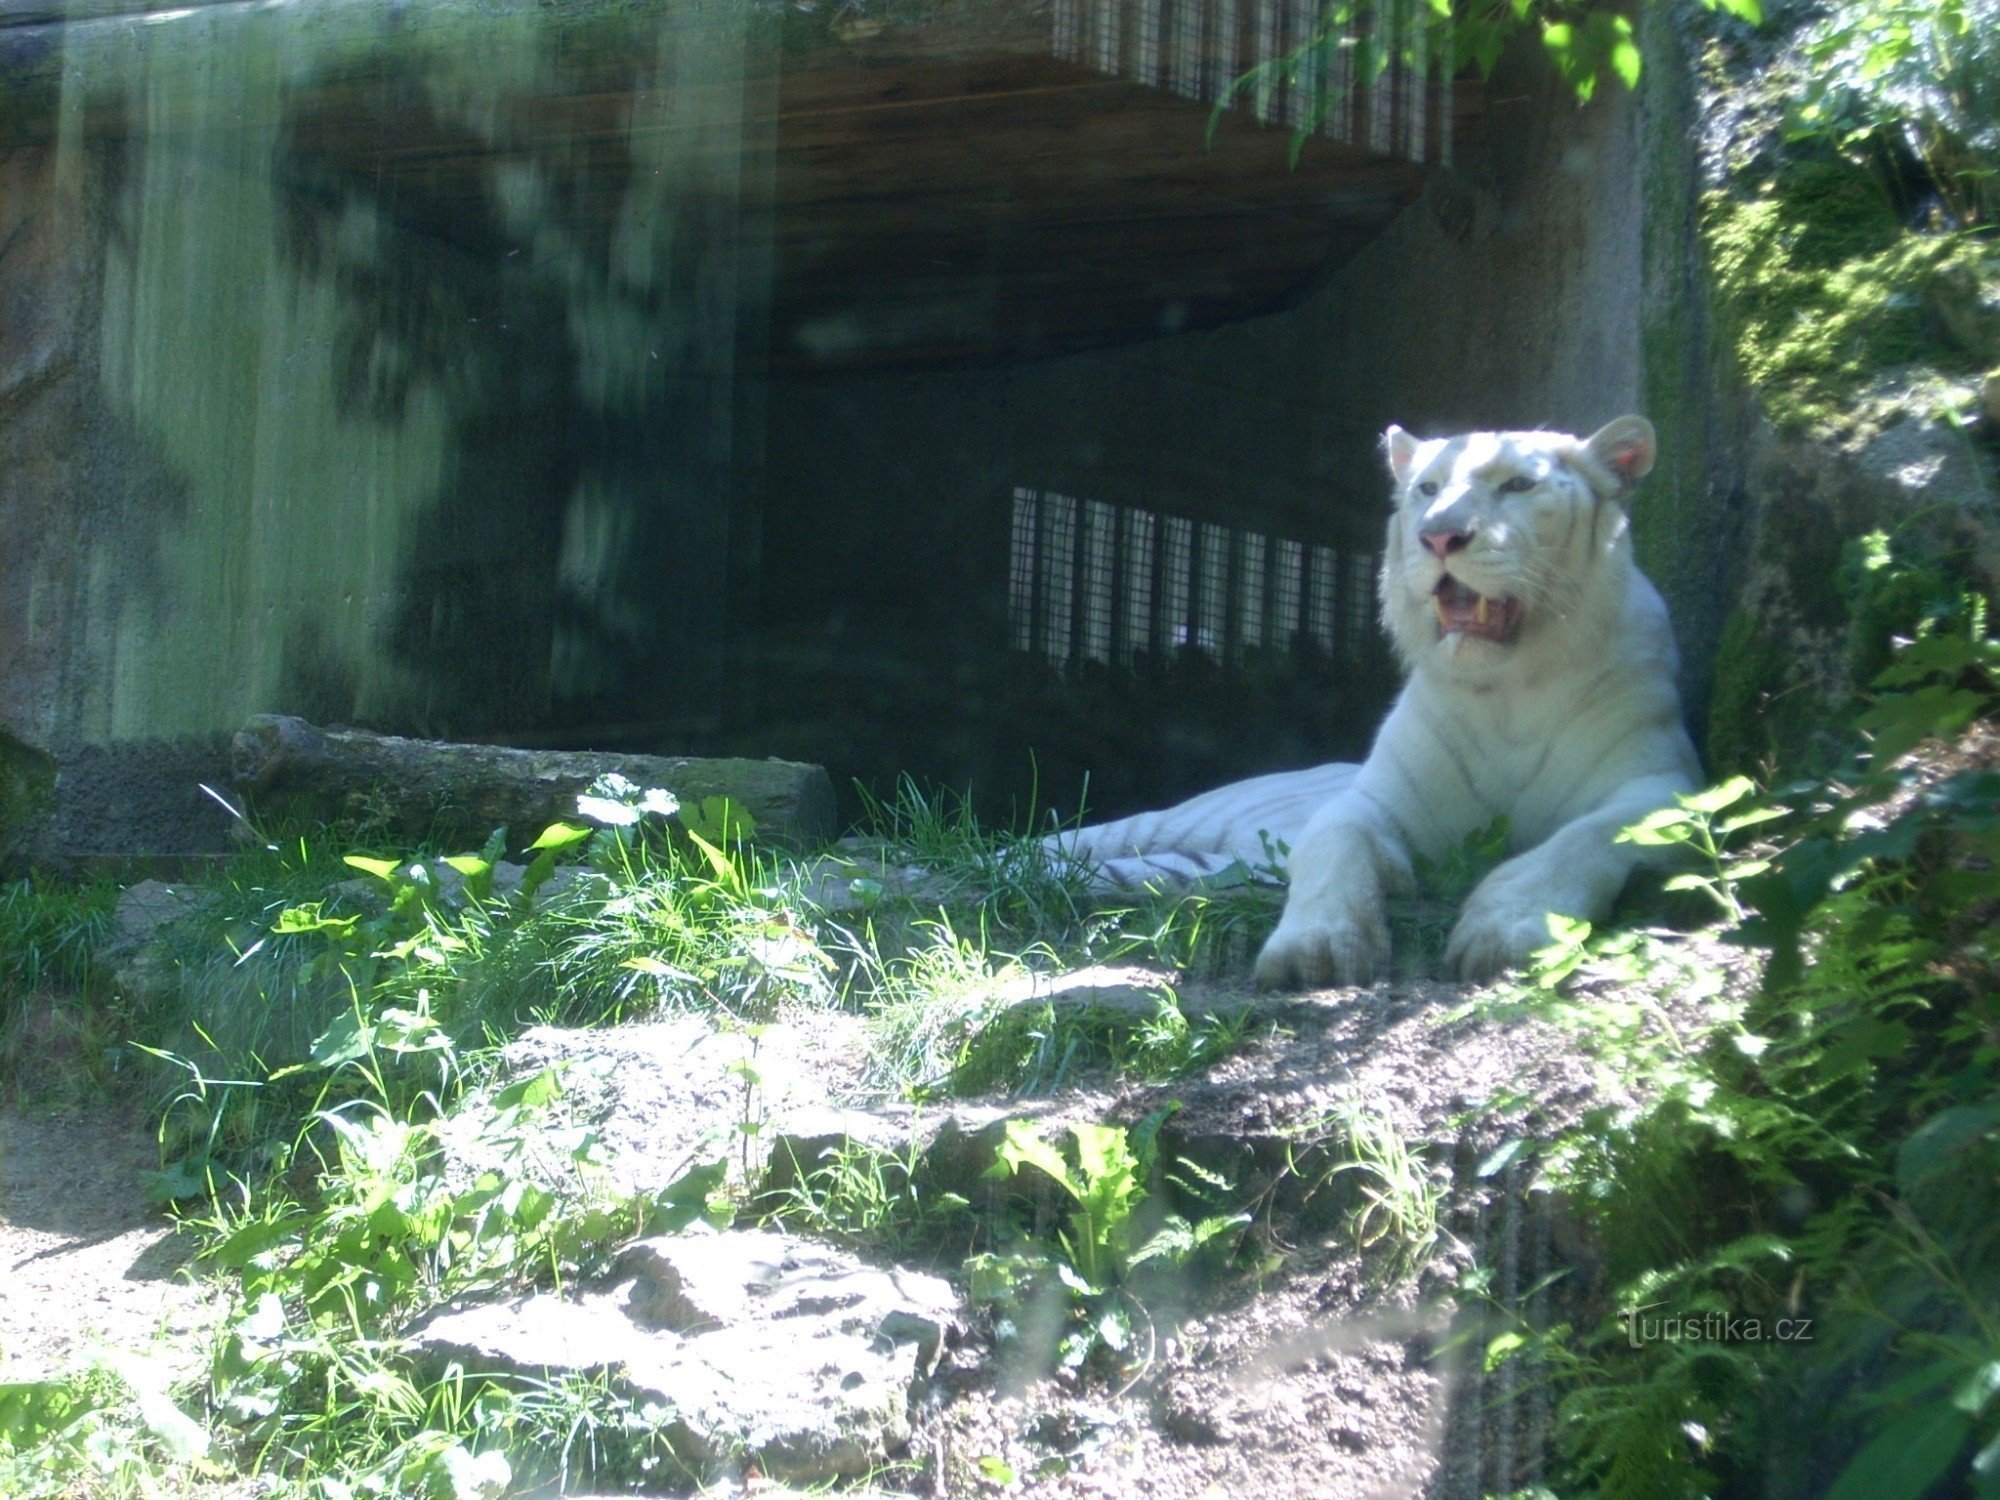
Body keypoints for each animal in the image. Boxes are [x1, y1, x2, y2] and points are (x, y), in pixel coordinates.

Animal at [1048, 418, 1704, 992]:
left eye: (1518, 485)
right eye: (1428, 490)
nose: (1438, 536)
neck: (1507, 692)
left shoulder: (1666, 786)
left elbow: (1586, 839)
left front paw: (1504, 930)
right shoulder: (1372, 799)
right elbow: (1334, 843)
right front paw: (1316, 949)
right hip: (1172, 820)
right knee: (1062, 845)